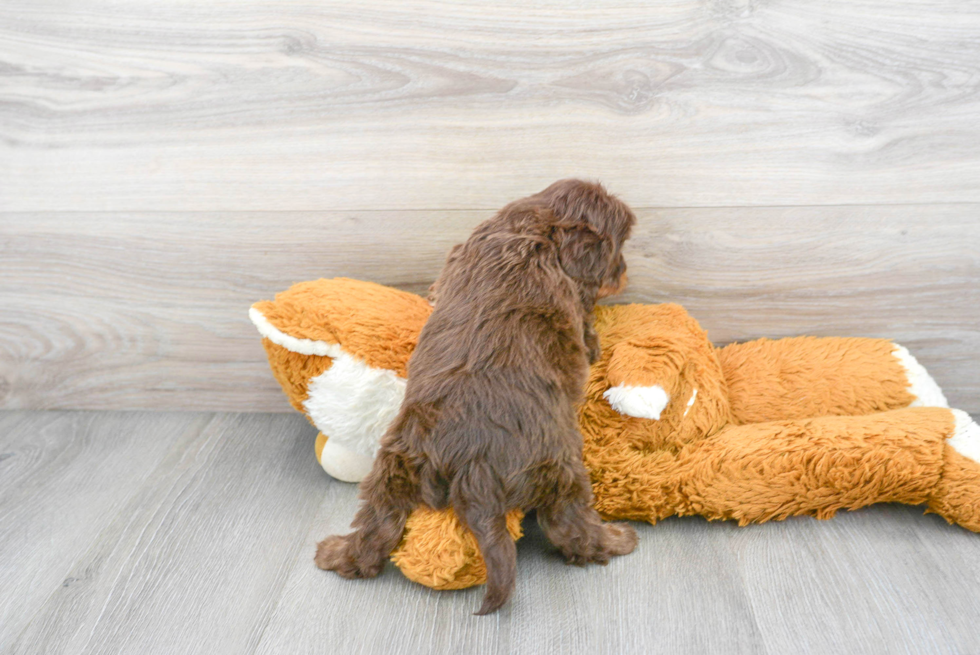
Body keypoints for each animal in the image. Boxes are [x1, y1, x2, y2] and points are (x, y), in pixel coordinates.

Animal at [312, 178, 636, 616]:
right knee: (572, 528)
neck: (537, 228)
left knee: (375, 529)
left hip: (393, 468)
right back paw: (617, 540)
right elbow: (586, 327)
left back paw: (335, 554)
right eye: (618, 249)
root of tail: (474, 462)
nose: (624, 274)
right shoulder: (576, 302)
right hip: (561, 467)